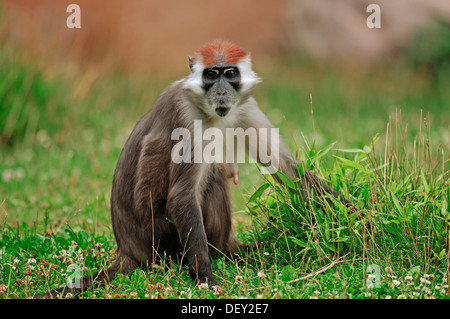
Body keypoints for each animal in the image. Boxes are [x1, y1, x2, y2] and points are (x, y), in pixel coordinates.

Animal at [39, 40, 352, 300]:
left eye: (230, 73)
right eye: (211, 75)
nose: (222, 90)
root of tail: (127, 249)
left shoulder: (246, 107)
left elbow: (288, 168)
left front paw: (356, 219)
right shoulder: (187, 116)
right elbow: (181, 194)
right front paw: (205, 276)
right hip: (159, 237)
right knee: (212, 179)